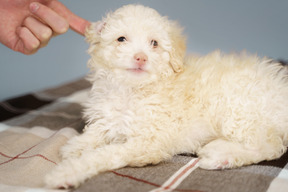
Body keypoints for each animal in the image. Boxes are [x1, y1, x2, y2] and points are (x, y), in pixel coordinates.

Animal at [44, 4, 288, 189]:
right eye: (121, 39)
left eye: (154, 43)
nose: (141, 57)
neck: (132, 91)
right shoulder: (109, 120)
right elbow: (95, 134)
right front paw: (75, 147)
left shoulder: (148, 143)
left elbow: (103, 155)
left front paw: (65, 173)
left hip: (238, 109)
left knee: (270, 146)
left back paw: (220, 155)